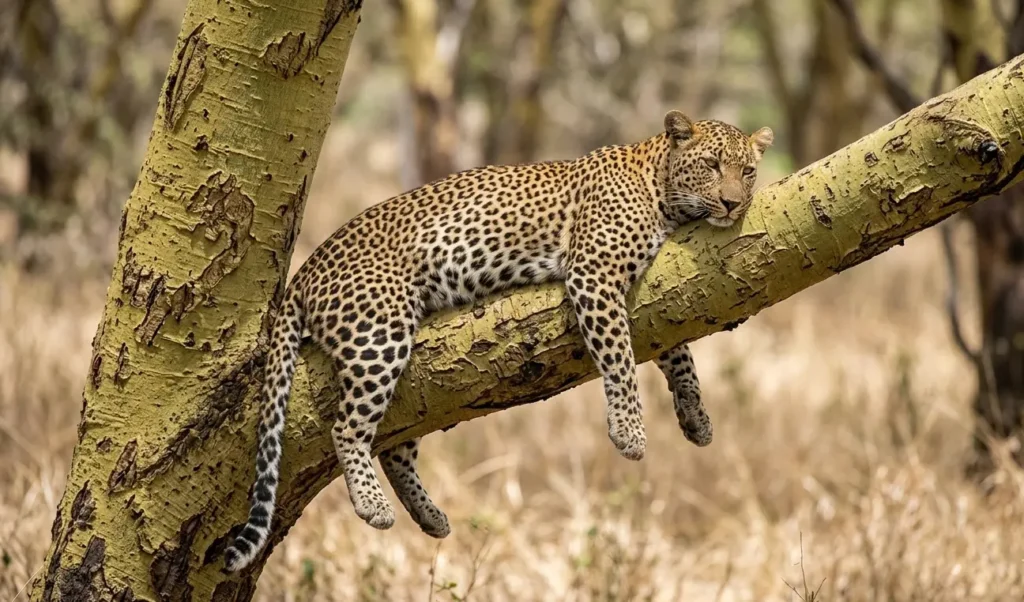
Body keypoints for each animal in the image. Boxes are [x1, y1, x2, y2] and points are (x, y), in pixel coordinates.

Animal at [224, 110, 773, 571]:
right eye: (712, 165)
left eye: (747, 171)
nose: (733, 203)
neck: (661, 185)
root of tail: (305, 270)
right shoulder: (594, 275)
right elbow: (619, 358)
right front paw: (629, 432)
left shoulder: (649, 293)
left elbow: (677, 351)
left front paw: (695, 416)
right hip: (379, 332)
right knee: (348, 429)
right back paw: (372, 505)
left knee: (396, 446)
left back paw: (430, 517)